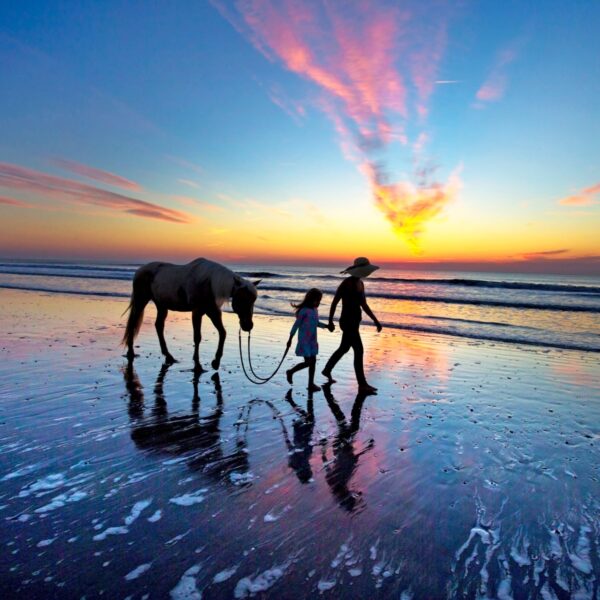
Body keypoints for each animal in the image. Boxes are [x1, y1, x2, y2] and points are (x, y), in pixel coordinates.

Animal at [122, 256, 260, 368]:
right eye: (242, 298)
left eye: (254, 300)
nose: (248, 326)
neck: (209, 282)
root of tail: (140, 270)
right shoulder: (197, 312)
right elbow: (197, 337)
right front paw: (197, 363)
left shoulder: (212, 311)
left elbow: (223, 333)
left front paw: (216, 362)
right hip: (141, 301)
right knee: (133, 322)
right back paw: (131, 353)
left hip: (161, 305)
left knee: (158, 326)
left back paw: (168, 356)